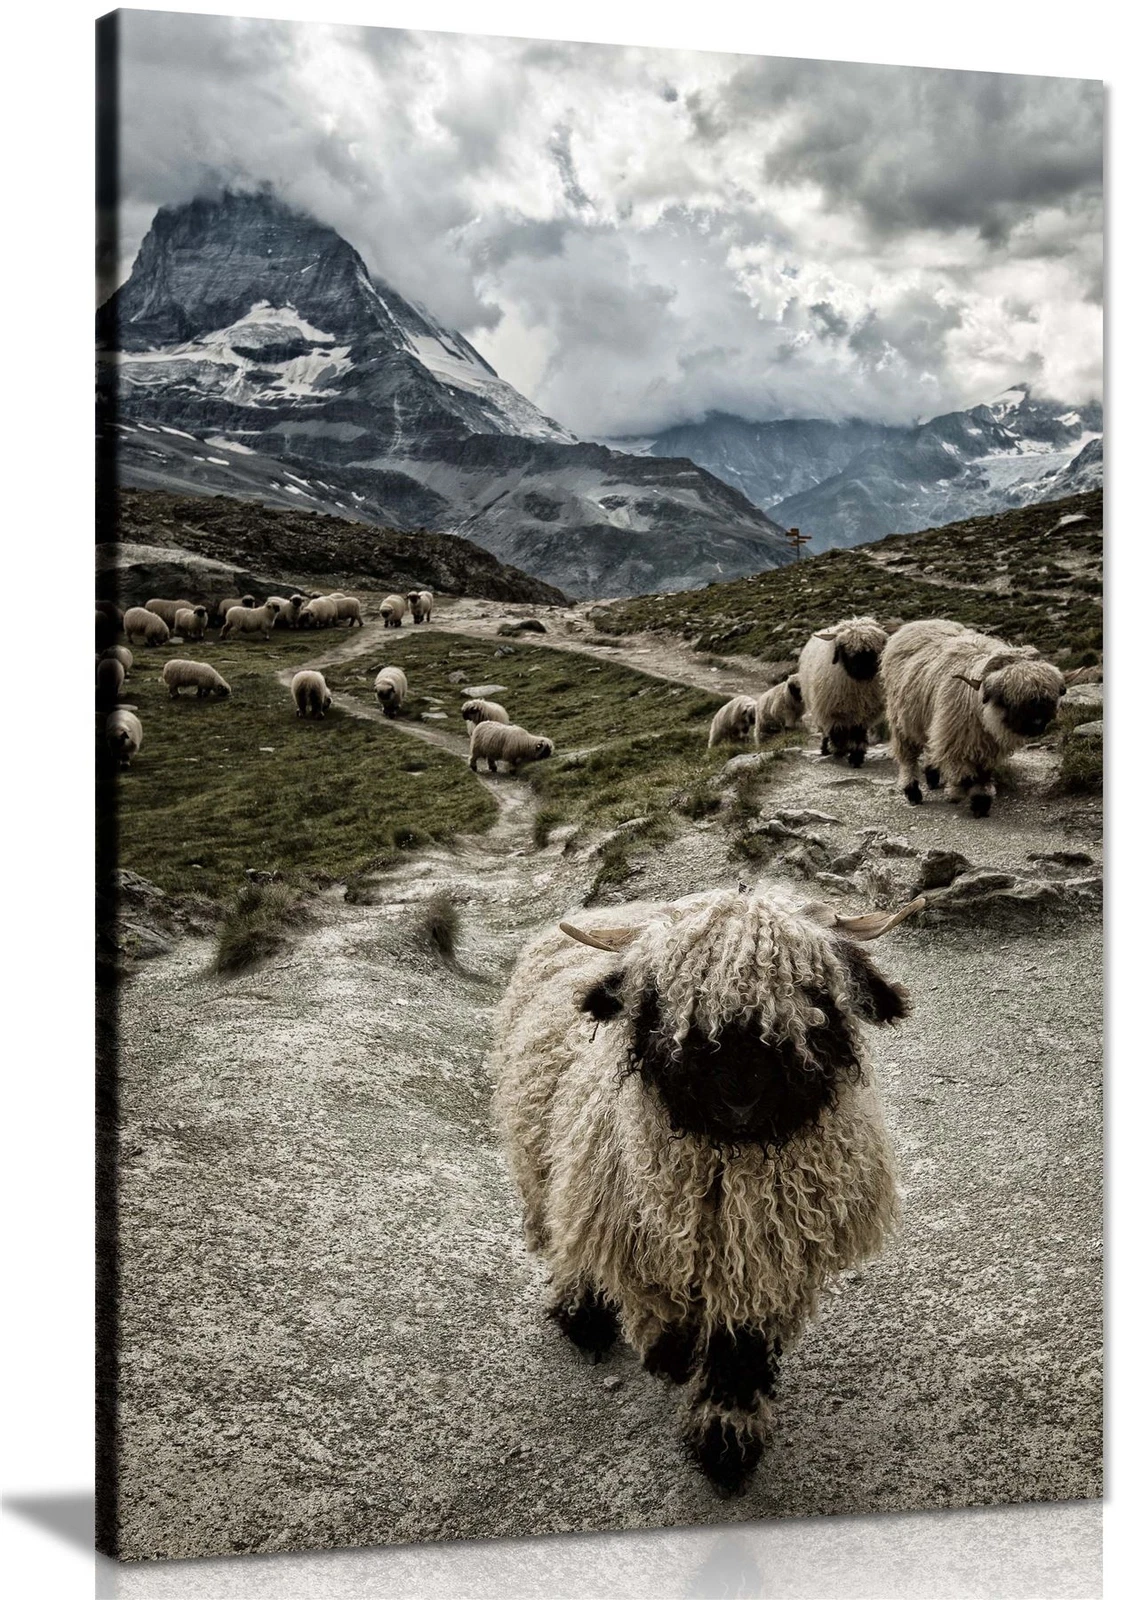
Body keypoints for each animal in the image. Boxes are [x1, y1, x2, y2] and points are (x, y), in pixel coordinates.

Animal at [491, 884, 922, 1495]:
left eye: (815, 993)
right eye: (664, 998)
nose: (739, 1093)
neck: (731, 1173)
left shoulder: (765, 1265)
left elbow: (737, 1353)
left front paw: (726, 1446)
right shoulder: (641, 1236)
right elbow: (662, 1317)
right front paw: (670, 1361)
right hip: (552, 1165)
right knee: (567, 1235)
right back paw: (583, 1315)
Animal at [798, 616, 888, 767]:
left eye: (873, 649)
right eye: (844, 648)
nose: (863, 671)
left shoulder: (864, 714)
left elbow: (858, 734)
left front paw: (856, 757)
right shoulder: (833, 711)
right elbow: (837, 732)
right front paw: (839, 750)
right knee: (826, 731)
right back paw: (826, 749)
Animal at [881, 619, 1066, 818]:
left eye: (1048, 699)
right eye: (1009, 700)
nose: (1038, 724)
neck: (982, 712)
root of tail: (917, 623)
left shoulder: (987, 747)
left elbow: (982, 775)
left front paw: (980, 802)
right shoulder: (955, 740)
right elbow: (966, 777)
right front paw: (955, 792)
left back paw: (932, 775)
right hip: (902, 722)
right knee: (908, 759)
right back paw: (912, 791)